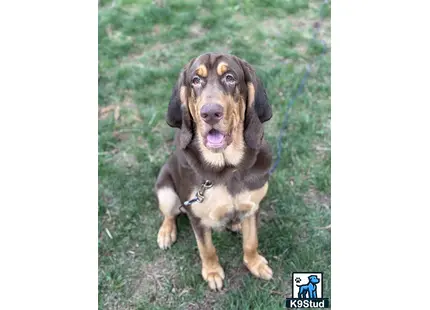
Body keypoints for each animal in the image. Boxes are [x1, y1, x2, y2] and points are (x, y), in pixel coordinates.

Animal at [155, 52, 272, 292]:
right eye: (195, 80)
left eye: (230, 77)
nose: (210, 113)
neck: (228, 168)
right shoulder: (197, 218)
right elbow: (207, 249)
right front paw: (212, 272)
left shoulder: (253, 207)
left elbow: (251, 242)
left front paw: (255, 264)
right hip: (166, 191)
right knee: (169, 214)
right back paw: (166, 232)